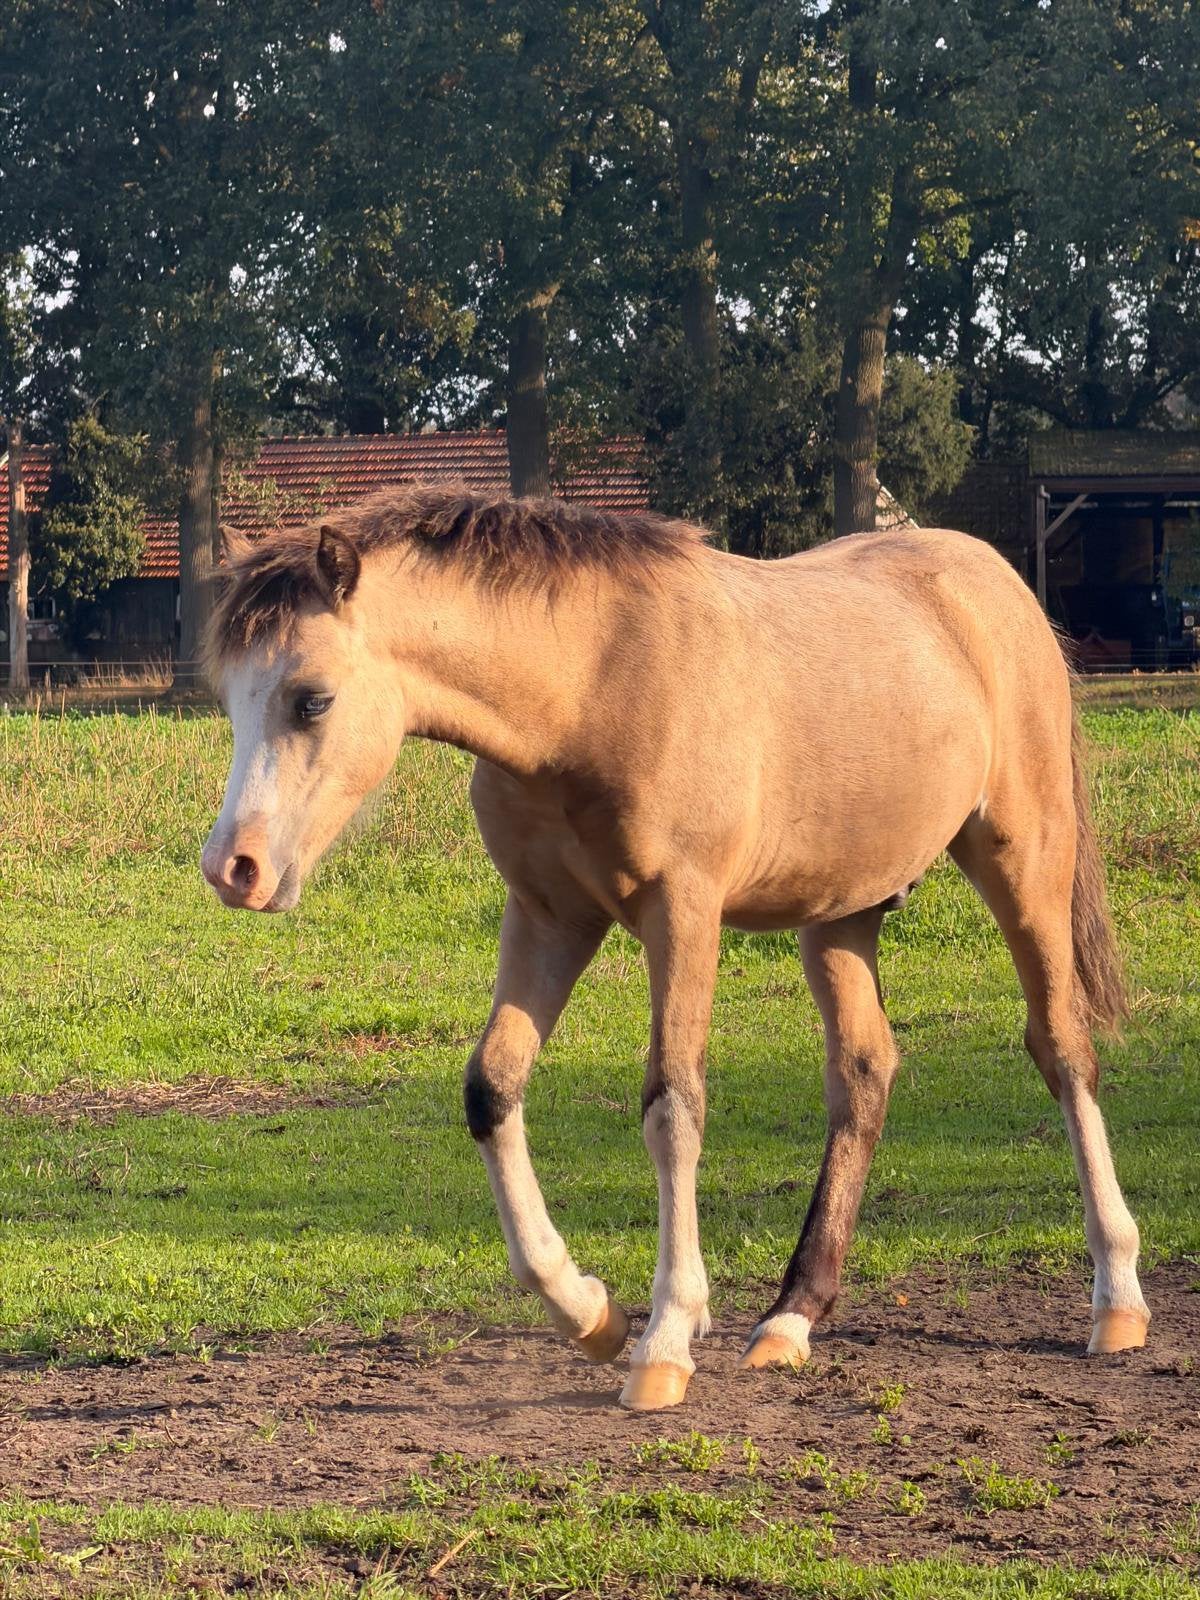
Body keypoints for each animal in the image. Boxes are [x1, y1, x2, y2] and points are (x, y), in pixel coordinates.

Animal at [200, 484, 1149, 1411]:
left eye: (312, 699)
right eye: (232, 698)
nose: (233, 868)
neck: (591, 687)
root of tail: (990, 578)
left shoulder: (683, 912)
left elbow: (673, 1107)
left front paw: (663, 1340)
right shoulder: (547, 915)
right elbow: (493, 1087)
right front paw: (590, 1314)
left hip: (1024, 862)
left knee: (1063, 1050)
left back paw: (1118, 1298)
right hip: (841, 913)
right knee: (864, 1075)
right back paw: (790, 1317)